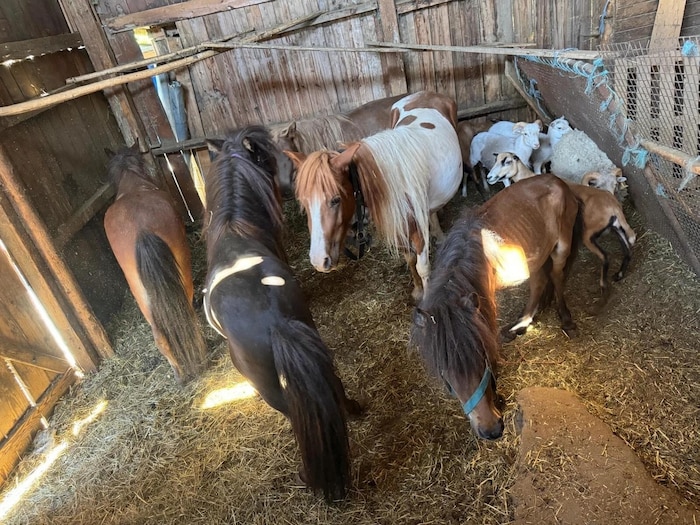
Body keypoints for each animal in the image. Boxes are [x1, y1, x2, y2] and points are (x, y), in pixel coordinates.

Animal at [286, 91, 463, 302]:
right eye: (304, 202)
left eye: (336, 199)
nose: (319, 261)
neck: (392, 182)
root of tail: (425, 93)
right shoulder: (399, 227)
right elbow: (409, 258)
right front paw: (418, 291)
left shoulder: (417, 230)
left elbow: (422, 267)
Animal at [410, 174, 582, 439]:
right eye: (446, 373)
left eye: (483, 358)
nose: (490, 430)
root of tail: (559, 181)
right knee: (539, 283)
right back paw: (521, 325)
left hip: (561, 247)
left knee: (556, 276)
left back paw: (564, 319)